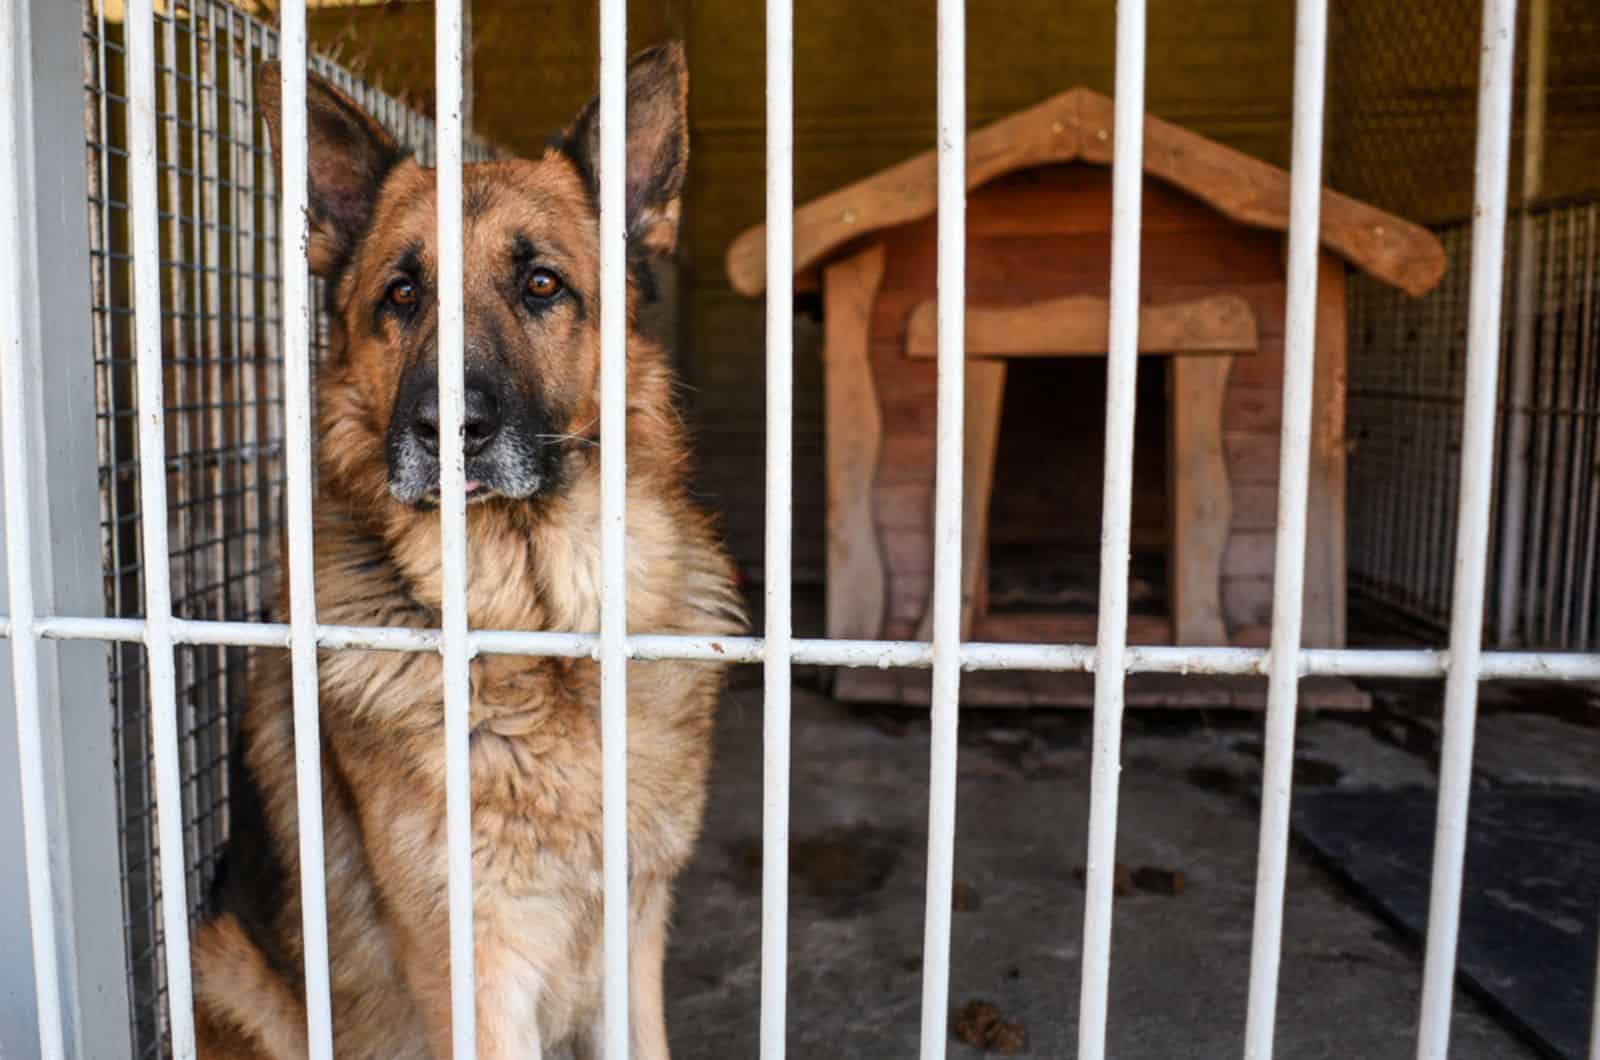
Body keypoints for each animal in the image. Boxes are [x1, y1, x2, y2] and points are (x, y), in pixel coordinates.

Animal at [188, 43, 742, 1060]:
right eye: (403, 295)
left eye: (542, 286)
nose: (446, 426)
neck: (541, 635)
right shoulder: (480, 976)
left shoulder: (633, 943)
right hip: (226, 960)